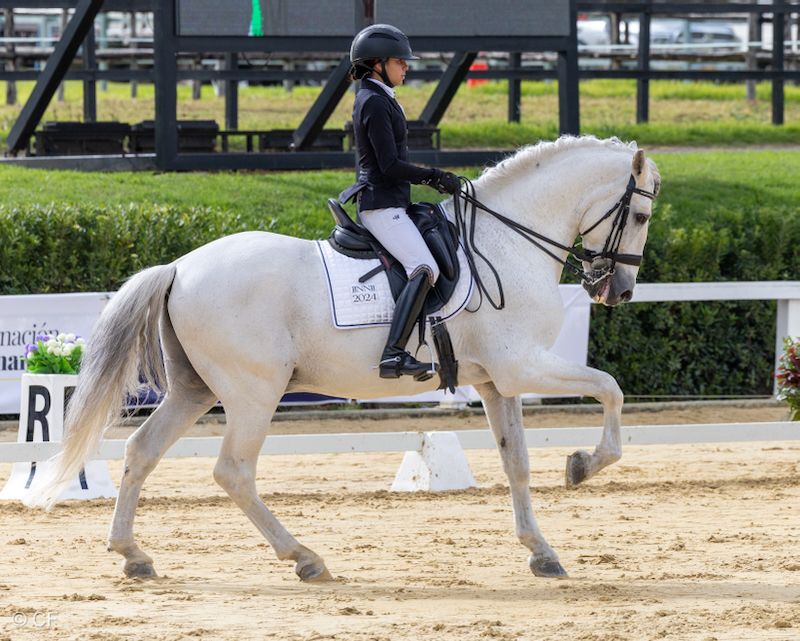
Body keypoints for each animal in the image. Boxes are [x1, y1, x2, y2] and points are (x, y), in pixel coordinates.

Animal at [29, 135, 660, 581]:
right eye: (641, 216)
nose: (618, 291)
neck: (506, 244)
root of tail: (179, 267)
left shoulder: (495, 382)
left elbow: (518, 465)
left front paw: (542, 552)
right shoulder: (522, 365)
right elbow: (610, 388)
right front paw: (583, 466)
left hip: (194, 389)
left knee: (142, 451)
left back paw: (132, 554)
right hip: (254, 392)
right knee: (233, 470)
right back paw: (305, 558)